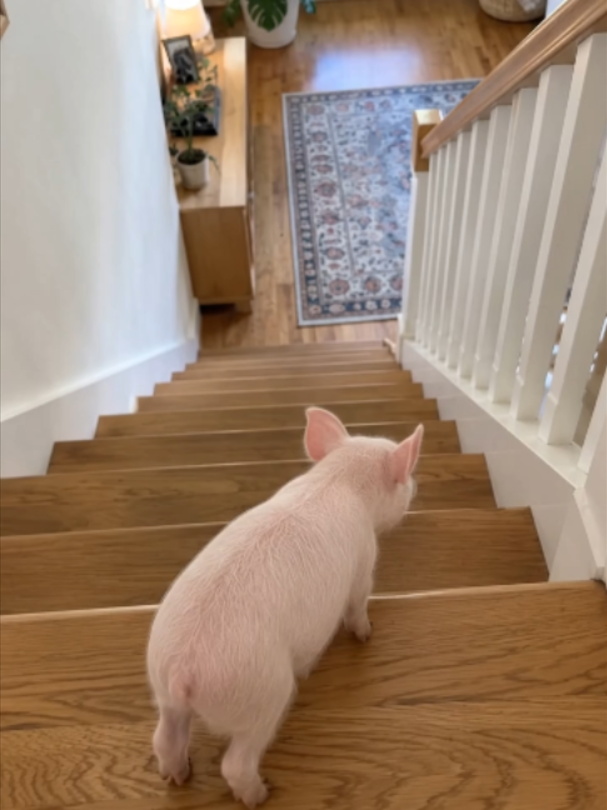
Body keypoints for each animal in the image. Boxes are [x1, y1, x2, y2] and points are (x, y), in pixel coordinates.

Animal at [147, 407, 424, 808]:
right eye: (405, 480)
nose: (415, 487)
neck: (337, 480)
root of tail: (183, 672)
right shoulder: (364, 561)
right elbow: (358, 603)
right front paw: (367, 635)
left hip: (163, 687)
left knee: (164, 738)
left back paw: (177, 777)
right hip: (264, 694)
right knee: (235, 763)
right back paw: (262, 794)